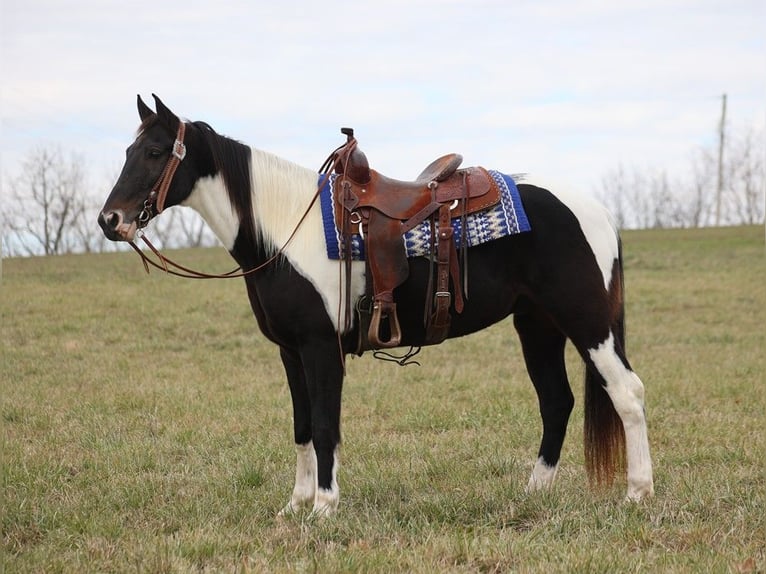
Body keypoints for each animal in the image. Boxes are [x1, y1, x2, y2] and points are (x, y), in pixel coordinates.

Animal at [99, 93, 656, 516]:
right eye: (128, 149)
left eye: (155, 151)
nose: (109, 220)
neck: (284, 231)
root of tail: (598, 210)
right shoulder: (290, 351)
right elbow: (302, 426)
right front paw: (295, 506)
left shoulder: (320, 347)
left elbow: (326, 425)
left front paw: (324, 507)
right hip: (537, 326)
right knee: (556, 401)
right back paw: (532, 495)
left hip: (587, 322)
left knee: (626, 392)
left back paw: (637, 494)